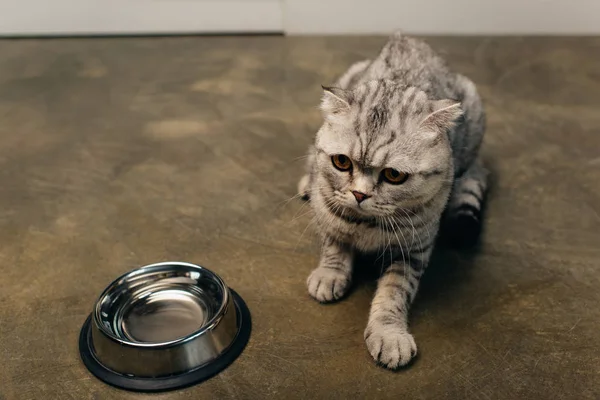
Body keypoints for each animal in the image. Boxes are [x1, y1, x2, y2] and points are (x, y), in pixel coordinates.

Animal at [298, 32, 490, 370]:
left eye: (393, 175)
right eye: (341, 162)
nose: (359, 194)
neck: (366, 223)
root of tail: (408, 38)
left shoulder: (412, 251)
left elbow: (393, 294)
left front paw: (389, 334)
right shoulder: (328, 209)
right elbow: (334, 242)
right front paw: (331, 272)